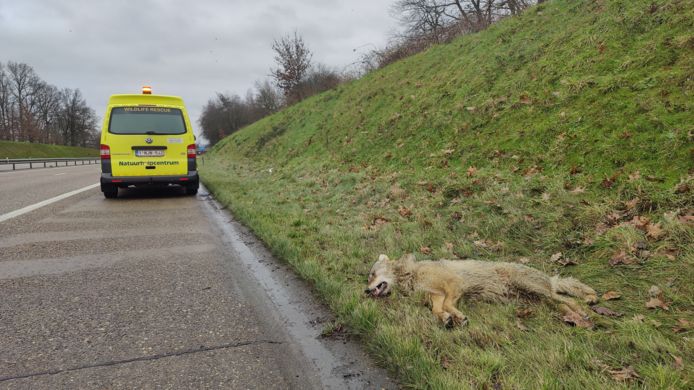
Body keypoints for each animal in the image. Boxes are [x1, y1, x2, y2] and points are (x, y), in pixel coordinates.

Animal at [368, 254, 600, 328]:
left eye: (371, 274)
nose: (365, 291)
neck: (411, 273)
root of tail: (549, 278)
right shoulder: (437, 295)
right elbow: (437, 309)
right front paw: (447, 318)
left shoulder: (454, 285)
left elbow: (449, 305)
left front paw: (457, 316)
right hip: (535, 300)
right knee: (561, 303)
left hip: (533, 288)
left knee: (567, 299)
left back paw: (585, 308)